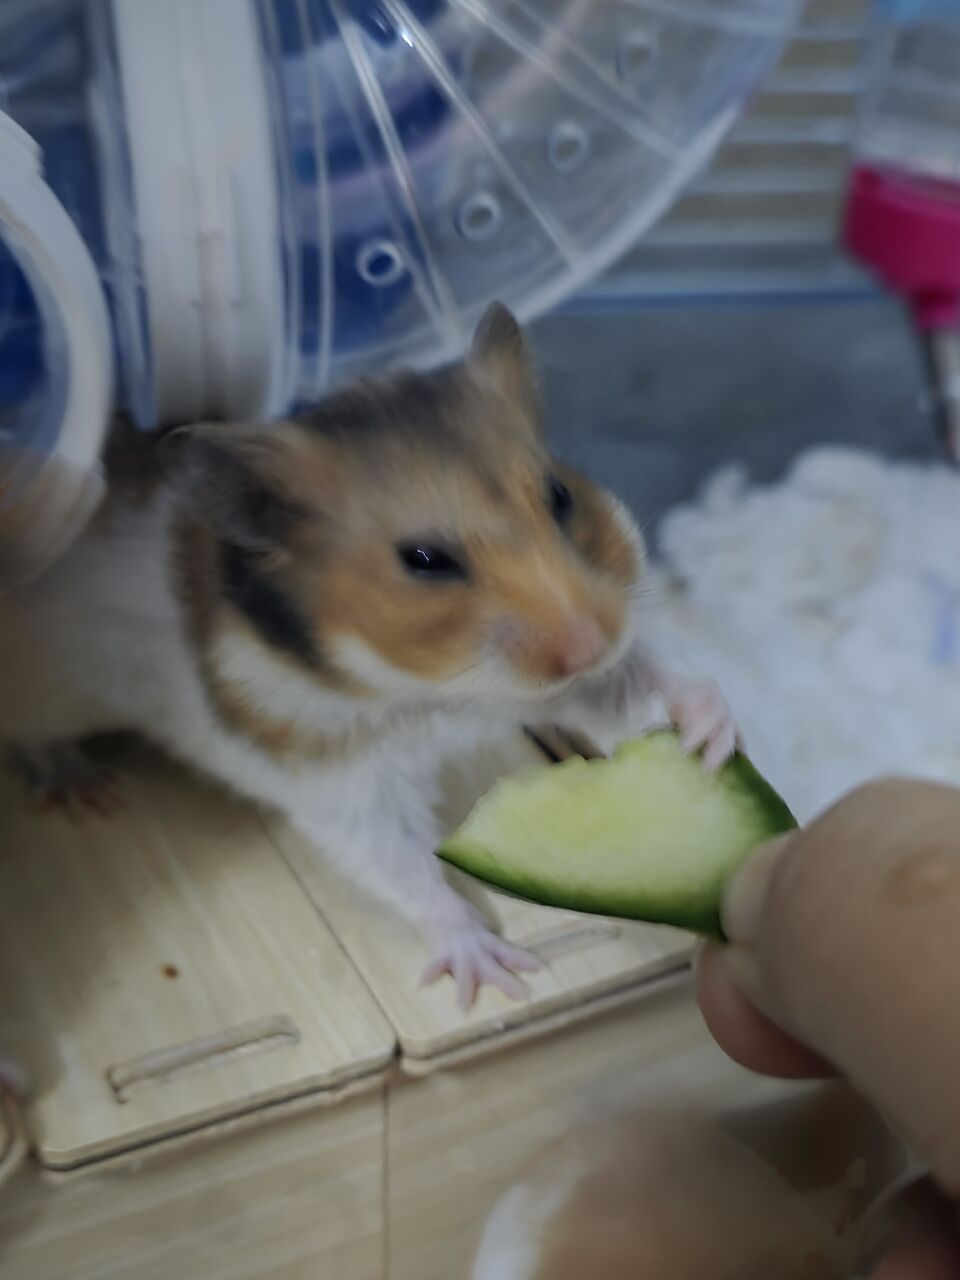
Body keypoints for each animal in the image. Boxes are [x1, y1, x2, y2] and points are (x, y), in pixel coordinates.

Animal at [0, 303, 736, 1013]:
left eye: (559, 495)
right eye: (424, 560)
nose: (590, 644)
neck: (429, 690)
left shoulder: (551, 686)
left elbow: (631, 684)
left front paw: (711, 732)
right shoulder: (340, 784)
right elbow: (404, 865)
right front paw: (494, 972)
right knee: (36, 743)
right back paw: (85, 789)